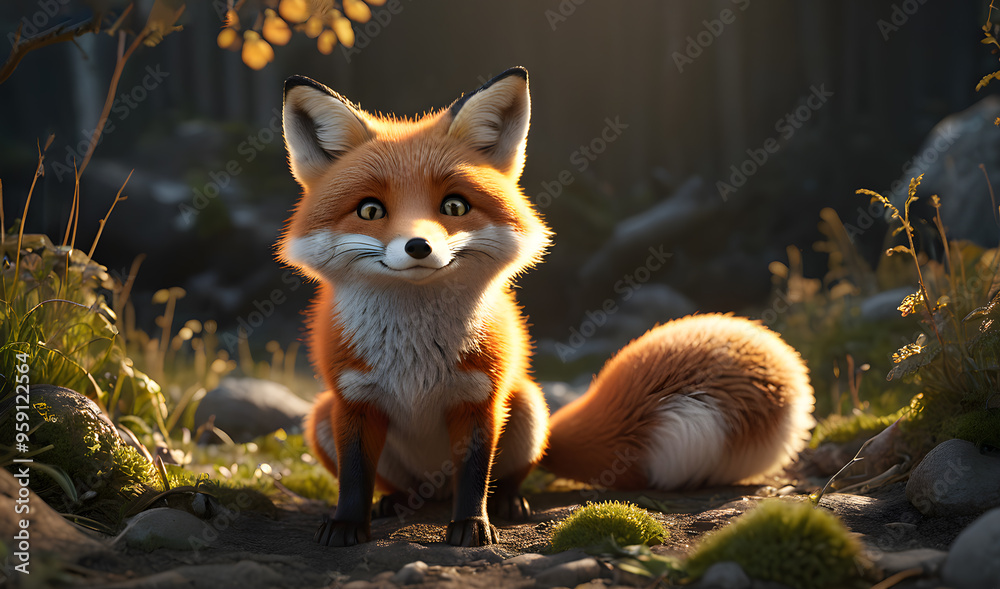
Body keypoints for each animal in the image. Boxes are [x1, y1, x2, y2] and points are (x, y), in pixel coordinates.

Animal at [277, 67, 815, 548]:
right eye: (370, 210)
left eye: (454, 206)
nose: (419, 247)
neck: (414, 360)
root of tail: (433, 484)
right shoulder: (354, 401)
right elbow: (355, 476)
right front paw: (348, 524)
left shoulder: (480, 399)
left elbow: (474, 475)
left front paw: (472, 526)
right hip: (321, 418)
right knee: (403, 489)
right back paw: (394, 503)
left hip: (528, 408)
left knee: (505, 475)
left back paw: (509, 503)